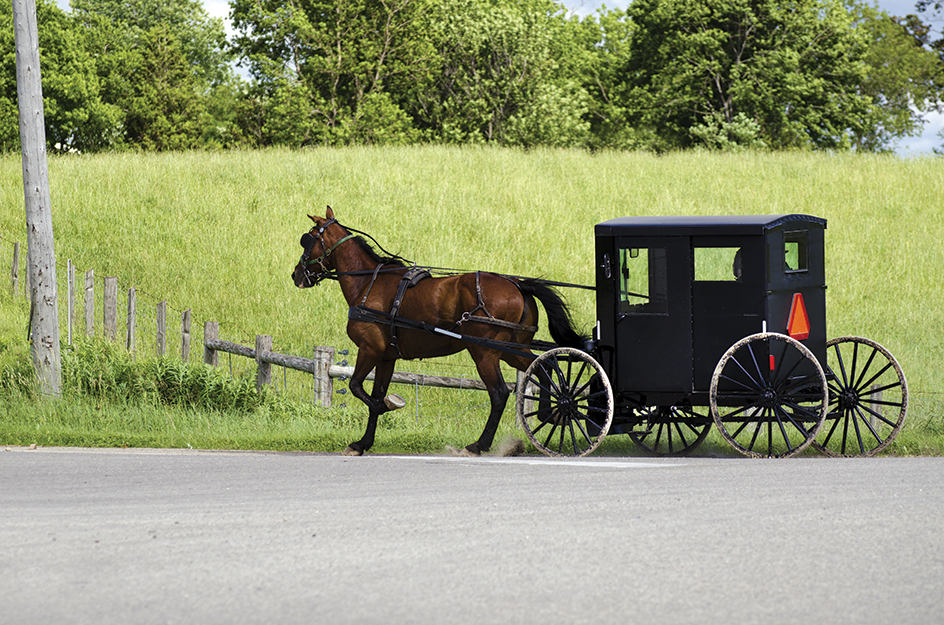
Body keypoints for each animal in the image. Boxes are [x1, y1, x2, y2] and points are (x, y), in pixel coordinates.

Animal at [294, 207, 592, 456]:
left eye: (307, 240)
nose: (296, 274)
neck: (369, 283)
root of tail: (517, 284)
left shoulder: (370, 349)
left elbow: (358, 387)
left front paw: (386, 407)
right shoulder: (387, 356)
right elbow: (375, 393)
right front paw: (362, 443)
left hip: (484, 350)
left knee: (499, 394)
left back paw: (478, 445)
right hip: (511, 348)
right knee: (544, 367)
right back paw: (551, 412)